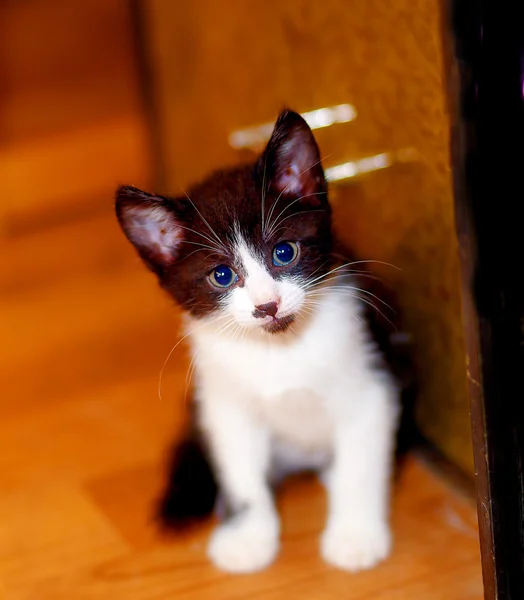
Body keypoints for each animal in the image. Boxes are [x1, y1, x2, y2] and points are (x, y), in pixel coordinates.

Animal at [115, 110, 410, 576]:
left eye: (284, 252)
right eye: (221, 275)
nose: (267, 306)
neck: (281, 349)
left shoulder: (371, 378)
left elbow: (360, 463)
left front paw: (356, 535)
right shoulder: (224, 403)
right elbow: (241, 472)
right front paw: (249, 538)